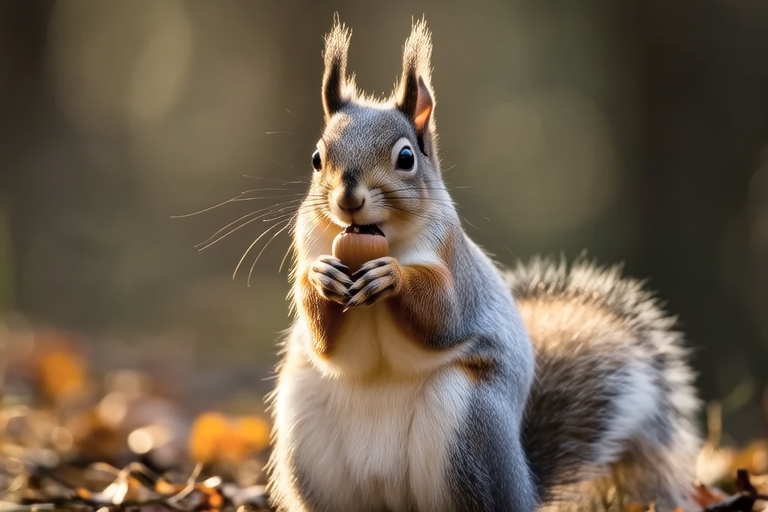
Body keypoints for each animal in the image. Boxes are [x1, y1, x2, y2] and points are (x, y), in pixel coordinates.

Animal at [266, 18, 701, 512]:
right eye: (317, 158)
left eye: (406, 158)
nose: (348, 199)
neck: (382, 240)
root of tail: (524, 486)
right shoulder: (309, 244)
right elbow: (327, 345)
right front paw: (320, 278)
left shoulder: (456, 267)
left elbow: (444, 316)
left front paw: (393, 276)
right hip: (306, 442)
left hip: (466, 428)